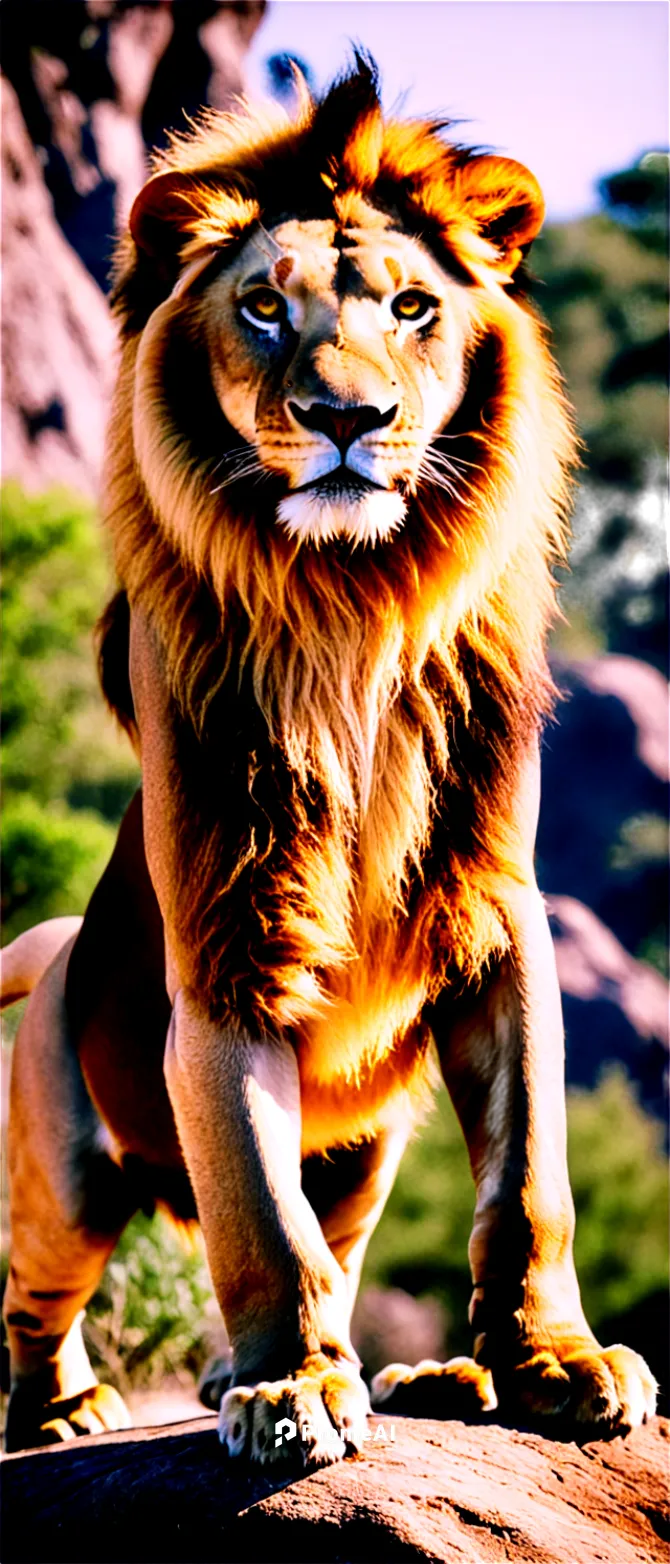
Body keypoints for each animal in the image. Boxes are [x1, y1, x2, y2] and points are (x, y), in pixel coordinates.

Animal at [2, 57, 657, 1451]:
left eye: (412, 307)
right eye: (263, 307)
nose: (347, 416)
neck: (347, 605)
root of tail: (56, 946)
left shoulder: (496, 910)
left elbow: (530, 1180)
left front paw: (550, 1361)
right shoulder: (225, 937)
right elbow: (256, 1206)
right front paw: (293, 1384)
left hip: (367, 1151)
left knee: (346, 1239)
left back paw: (423, 1376)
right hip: (67, 1166)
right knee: (39, 1289)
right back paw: (69, 1407)